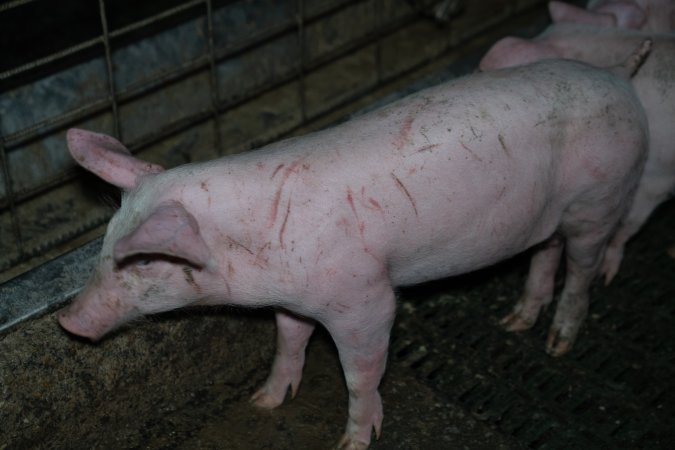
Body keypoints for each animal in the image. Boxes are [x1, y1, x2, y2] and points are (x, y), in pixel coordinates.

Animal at [58, 52, 649, 449]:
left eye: (144, 261)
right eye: (105, 244)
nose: (68, 322)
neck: (257, 254)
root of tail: (619, 76)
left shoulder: (364, 297)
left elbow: (360, 373)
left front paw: (351, 442)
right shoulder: (294, 299)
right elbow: (289, 340)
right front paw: (264, 400)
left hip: (600, 197)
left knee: (583, 266)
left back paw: (557, 344)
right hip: (550, 215)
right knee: (547, 252)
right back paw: (516, 322)